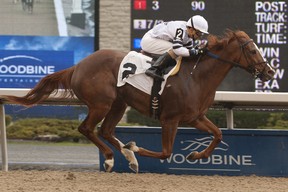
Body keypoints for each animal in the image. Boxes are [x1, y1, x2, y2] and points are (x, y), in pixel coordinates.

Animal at [3, 29, 274, 172]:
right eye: (252, 50)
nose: (270, 72)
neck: (196, 76)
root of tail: (78, 66)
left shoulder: (195, 117)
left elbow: (218, 134)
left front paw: (196, 156)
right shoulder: (170, 119)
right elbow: (165, 152)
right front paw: (135, 148)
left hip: (119, 103)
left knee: (106, 130)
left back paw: (127, 157)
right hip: (101, 103)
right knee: (87, 128)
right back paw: (112, 157)